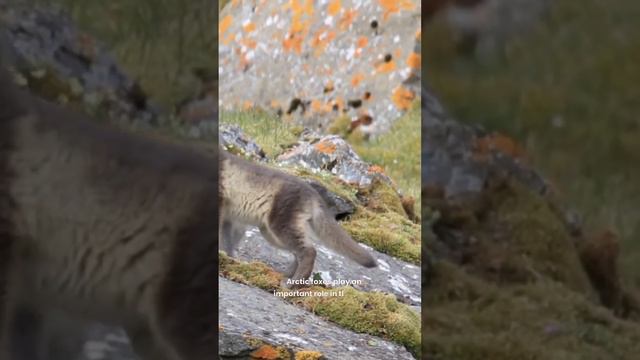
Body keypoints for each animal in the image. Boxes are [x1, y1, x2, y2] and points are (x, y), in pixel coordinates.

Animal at [220, 150, 378, 286]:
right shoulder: (230, 218)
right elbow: (228, 240)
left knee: (309, 251)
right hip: (271, 232)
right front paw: (228, 257)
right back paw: (286, 275)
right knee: (300, 252)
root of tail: (313, 193)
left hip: (280, 225)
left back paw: (292, 284)